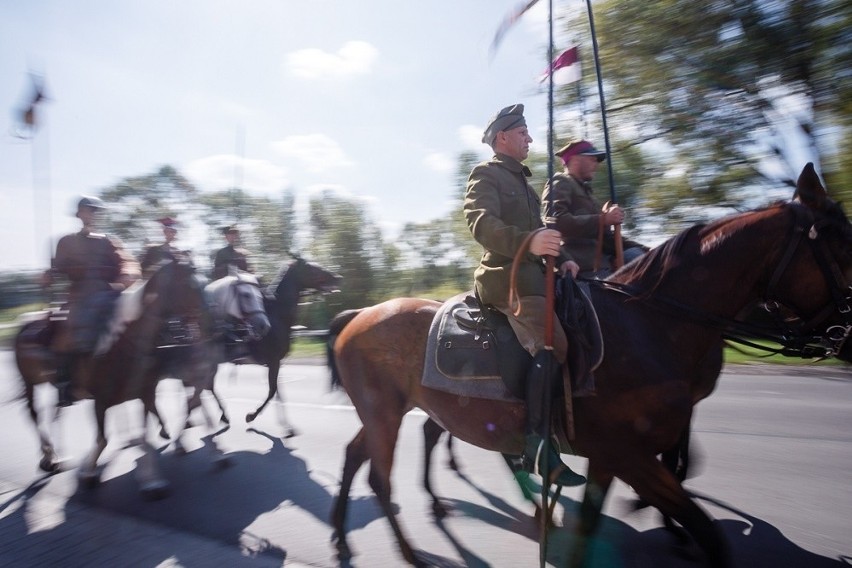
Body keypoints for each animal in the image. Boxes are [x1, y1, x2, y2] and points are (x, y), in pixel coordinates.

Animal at [328, 162, 852, 564]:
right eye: (840, 243)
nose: (845, 336)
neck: (650, 323)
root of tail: (361, 314)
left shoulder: (611, 457)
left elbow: (595, 525)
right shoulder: (629, 455)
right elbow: (703, 527)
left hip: (392, 412)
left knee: (359, 454)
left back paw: (342, 532)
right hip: (384, 412)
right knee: (379, 475)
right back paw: (409, 550)